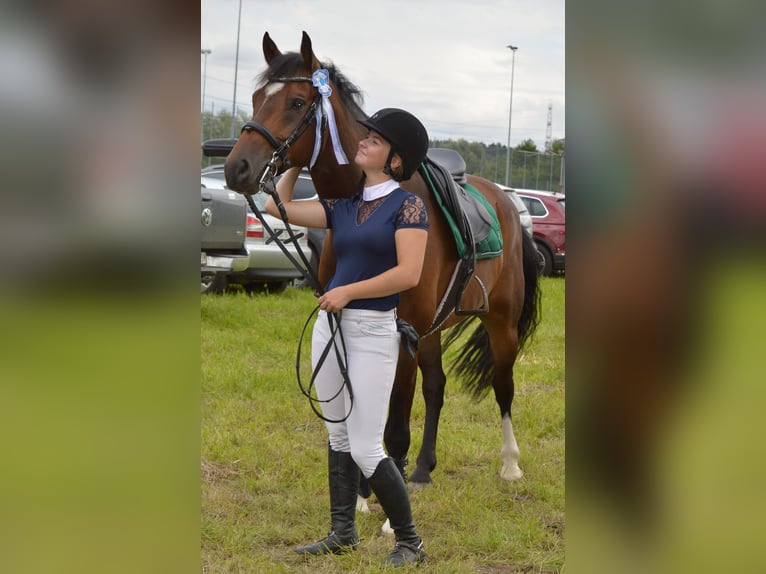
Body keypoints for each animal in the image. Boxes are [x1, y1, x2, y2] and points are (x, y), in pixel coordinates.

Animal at [225, 32, 544, 496]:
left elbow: (393, 428)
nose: (237, 168)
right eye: (254, 98)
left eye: (298, 103)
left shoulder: (401, 335)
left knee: (503, 387)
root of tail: (508, 202)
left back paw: (510, 464)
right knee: (437, 387)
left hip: (500, 322)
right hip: (432, 329)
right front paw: (363, 495)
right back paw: (424, 468)